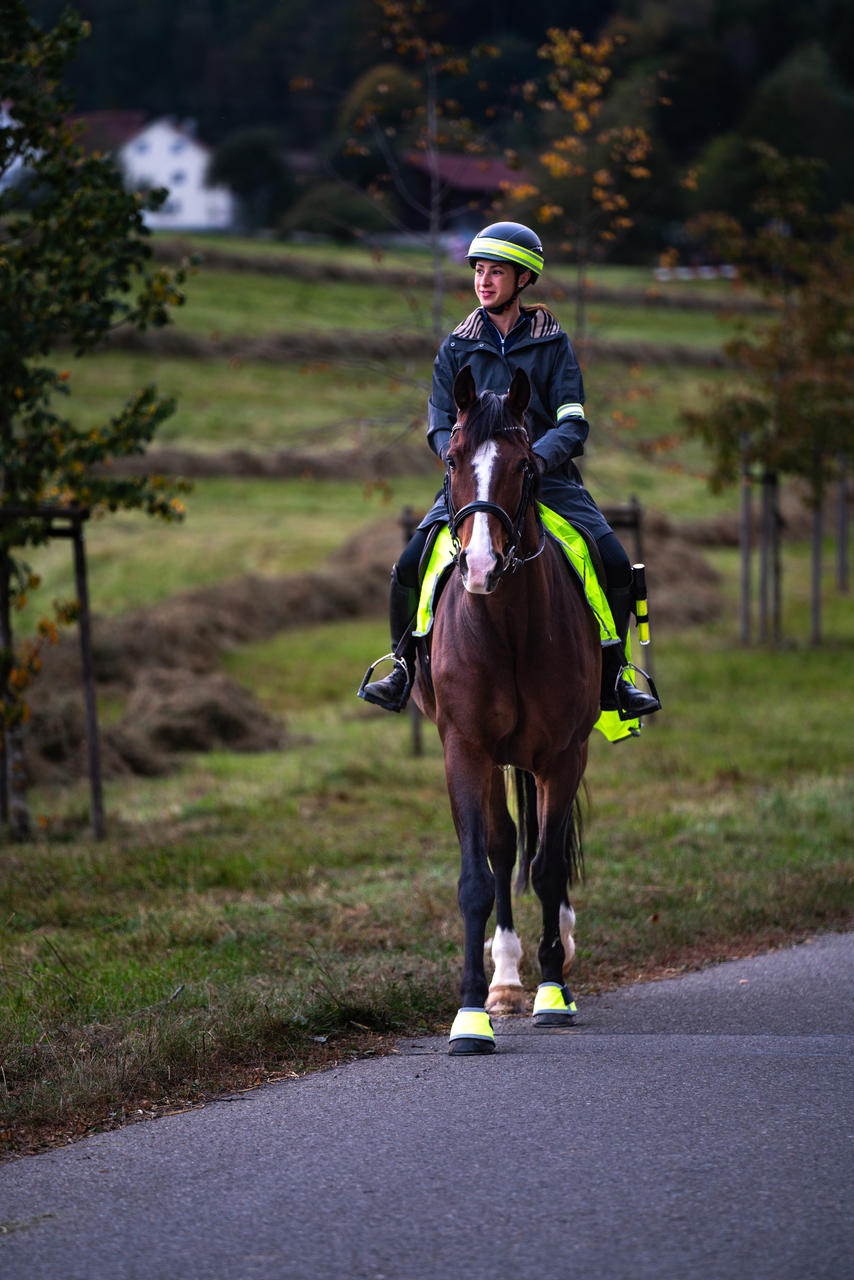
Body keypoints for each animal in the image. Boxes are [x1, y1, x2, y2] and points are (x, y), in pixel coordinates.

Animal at [414, 366, 601, 1054]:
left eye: (525, 464)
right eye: (452, 457)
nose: (480, 565)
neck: (510, 628)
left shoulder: (562, 754)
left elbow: (547, 868)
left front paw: (553, 993)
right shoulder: (465, 749)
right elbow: (478, 876)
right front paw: (473, 1013)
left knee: (548, 848)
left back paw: (557, 949)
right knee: (503, 847)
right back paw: (505, 976)